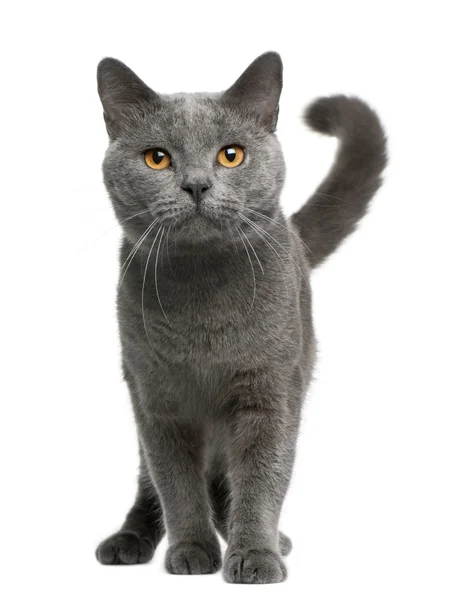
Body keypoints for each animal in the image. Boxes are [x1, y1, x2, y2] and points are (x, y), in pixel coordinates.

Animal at [95, 49, 386, 584]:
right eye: (157, 158)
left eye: (231, 155)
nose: (196, 184)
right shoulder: (157, 400)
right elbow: (175, 484)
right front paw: (191, 551)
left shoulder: (270, 393)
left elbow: (261, 477)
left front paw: (254, 555)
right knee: (154, 483)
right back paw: (129, 540)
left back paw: (265, 539)